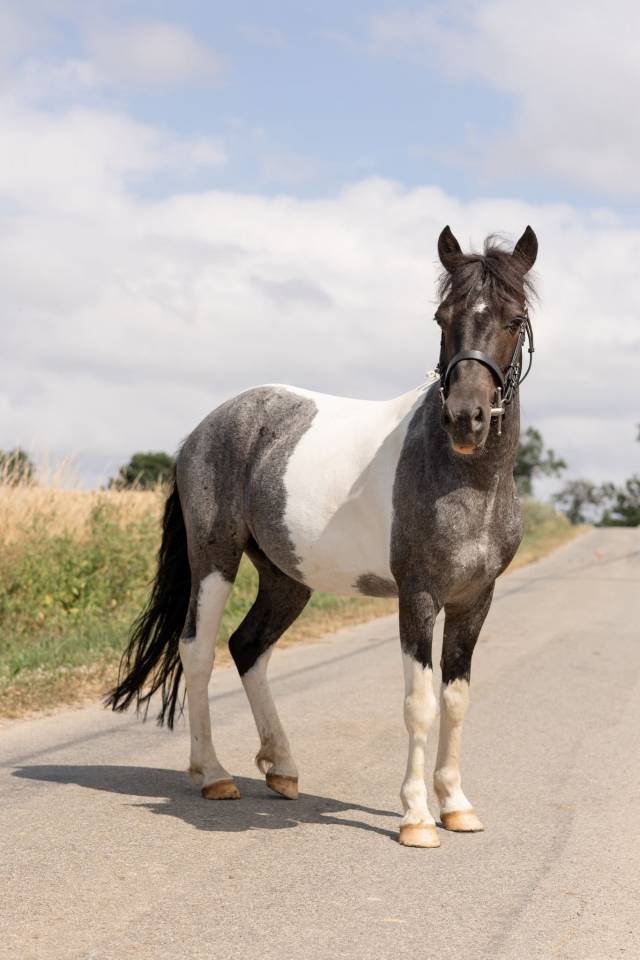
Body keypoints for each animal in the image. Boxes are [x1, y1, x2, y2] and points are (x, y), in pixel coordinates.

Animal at [107, 225, 538, 848]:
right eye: (442, 316)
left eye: (514, 318)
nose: (466, 418)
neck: (464, 478)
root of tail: (204, 429)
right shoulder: (419, 596)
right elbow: (420, 703)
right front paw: (415, 819)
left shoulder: (475, 600)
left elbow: (455, 700)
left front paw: (456, 806)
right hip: (214, 558)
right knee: (198, 650)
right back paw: (214, 775)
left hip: (286, 579)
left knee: (247, 647)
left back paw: (282, 769)